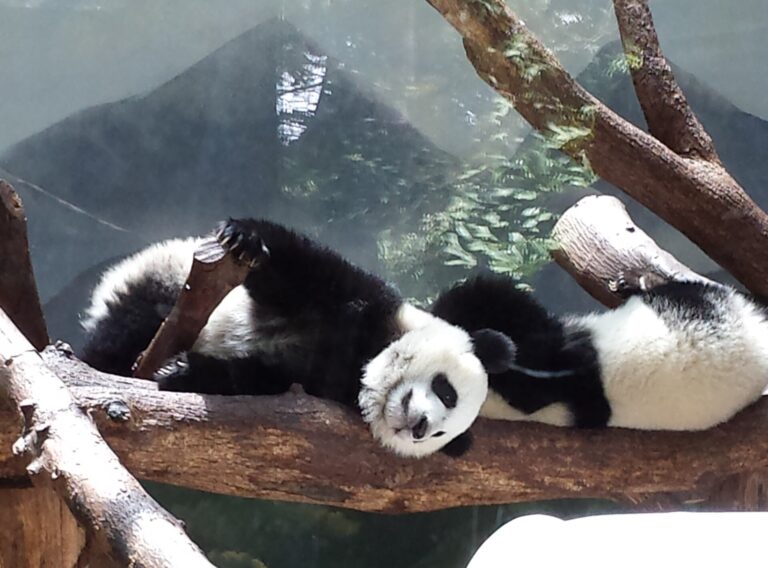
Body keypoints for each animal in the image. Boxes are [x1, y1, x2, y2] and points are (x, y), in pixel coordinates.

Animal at [80, 218, 517, 458]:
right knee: (126, 325)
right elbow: (300, 268)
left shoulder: (313, 383)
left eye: (443, 435)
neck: (366, 358)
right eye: (447, 392)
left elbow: (256, 380)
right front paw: (244, 237)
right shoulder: (368, 300)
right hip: (160, 279)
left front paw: (185, 371)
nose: (421, 428)